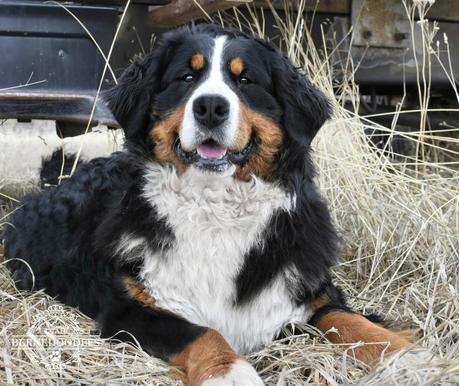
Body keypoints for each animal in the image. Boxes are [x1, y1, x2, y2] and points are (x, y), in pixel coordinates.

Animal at [3, 24, 414, 386]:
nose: (211, 107)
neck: (216, 208)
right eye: (186, 77)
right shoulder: (132, 306)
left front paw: (409, 357)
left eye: (245, 81)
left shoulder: (309, 290)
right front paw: (230, 373)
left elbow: (351, 321)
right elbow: (202, 333)